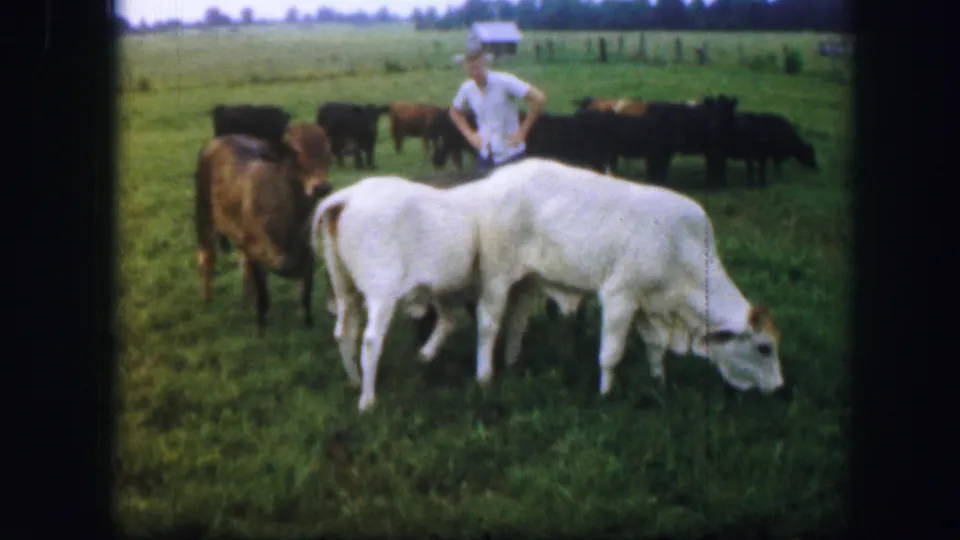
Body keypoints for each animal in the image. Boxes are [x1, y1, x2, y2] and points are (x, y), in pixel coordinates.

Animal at [194, 123, 333, 336]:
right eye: (294, 151)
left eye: (327, 149)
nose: (321, 187)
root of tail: (221, 139)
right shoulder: (256, 253)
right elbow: (263, 297)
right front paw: (261, 331)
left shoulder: (308, 257)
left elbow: (305, 298)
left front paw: (308, 325)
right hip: (204, 216)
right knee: (207, 258)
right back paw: (207, 298)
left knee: (242, 264)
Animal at [448, 158, 785, 396]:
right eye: (764, 347)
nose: (781, 389)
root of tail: (492, 181)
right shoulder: (619, 297)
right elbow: (611, 355)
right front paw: (606, 394)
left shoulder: (648, 305)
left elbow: (655, 347)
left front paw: (659, 381)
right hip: (497, 278)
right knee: (489, 325)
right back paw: (485, 376)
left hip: (526, 281)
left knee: (517, 323)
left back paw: (512, 362)